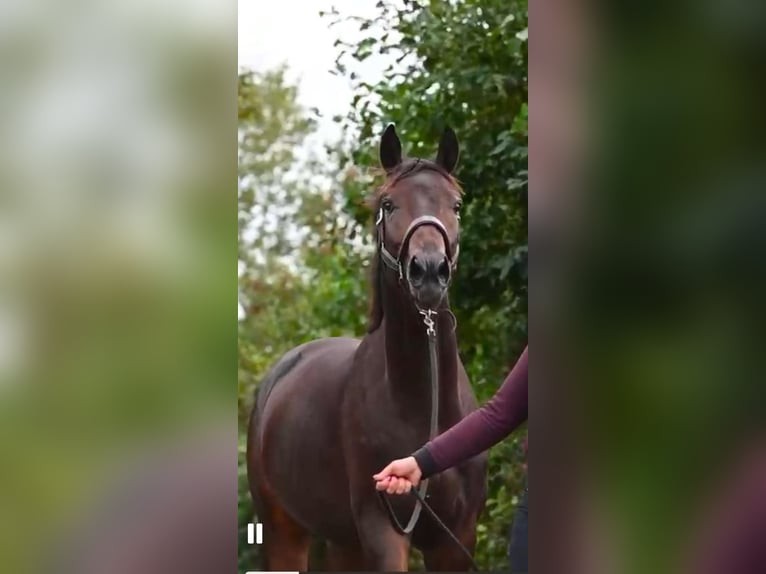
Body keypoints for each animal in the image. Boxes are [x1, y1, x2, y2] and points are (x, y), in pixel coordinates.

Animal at [249, 125, 488, 572]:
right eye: (389, 204)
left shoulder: (456, 539)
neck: (422, 406)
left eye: (457, 205)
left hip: (345, 542)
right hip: (283, 531)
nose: (429, 272)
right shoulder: (383, 528)